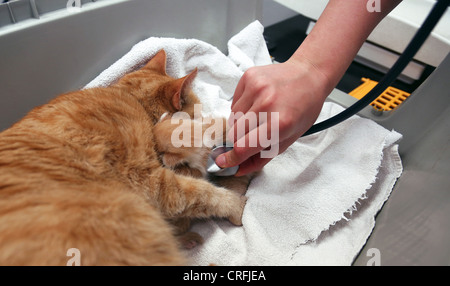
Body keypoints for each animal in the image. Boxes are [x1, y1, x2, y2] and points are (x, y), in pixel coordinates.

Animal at [0, 49, 246, 266]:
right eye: (197, 111)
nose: (204, 119)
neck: (132, 99)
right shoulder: (150, 180)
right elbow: (207, 194)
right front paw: (236, 206)